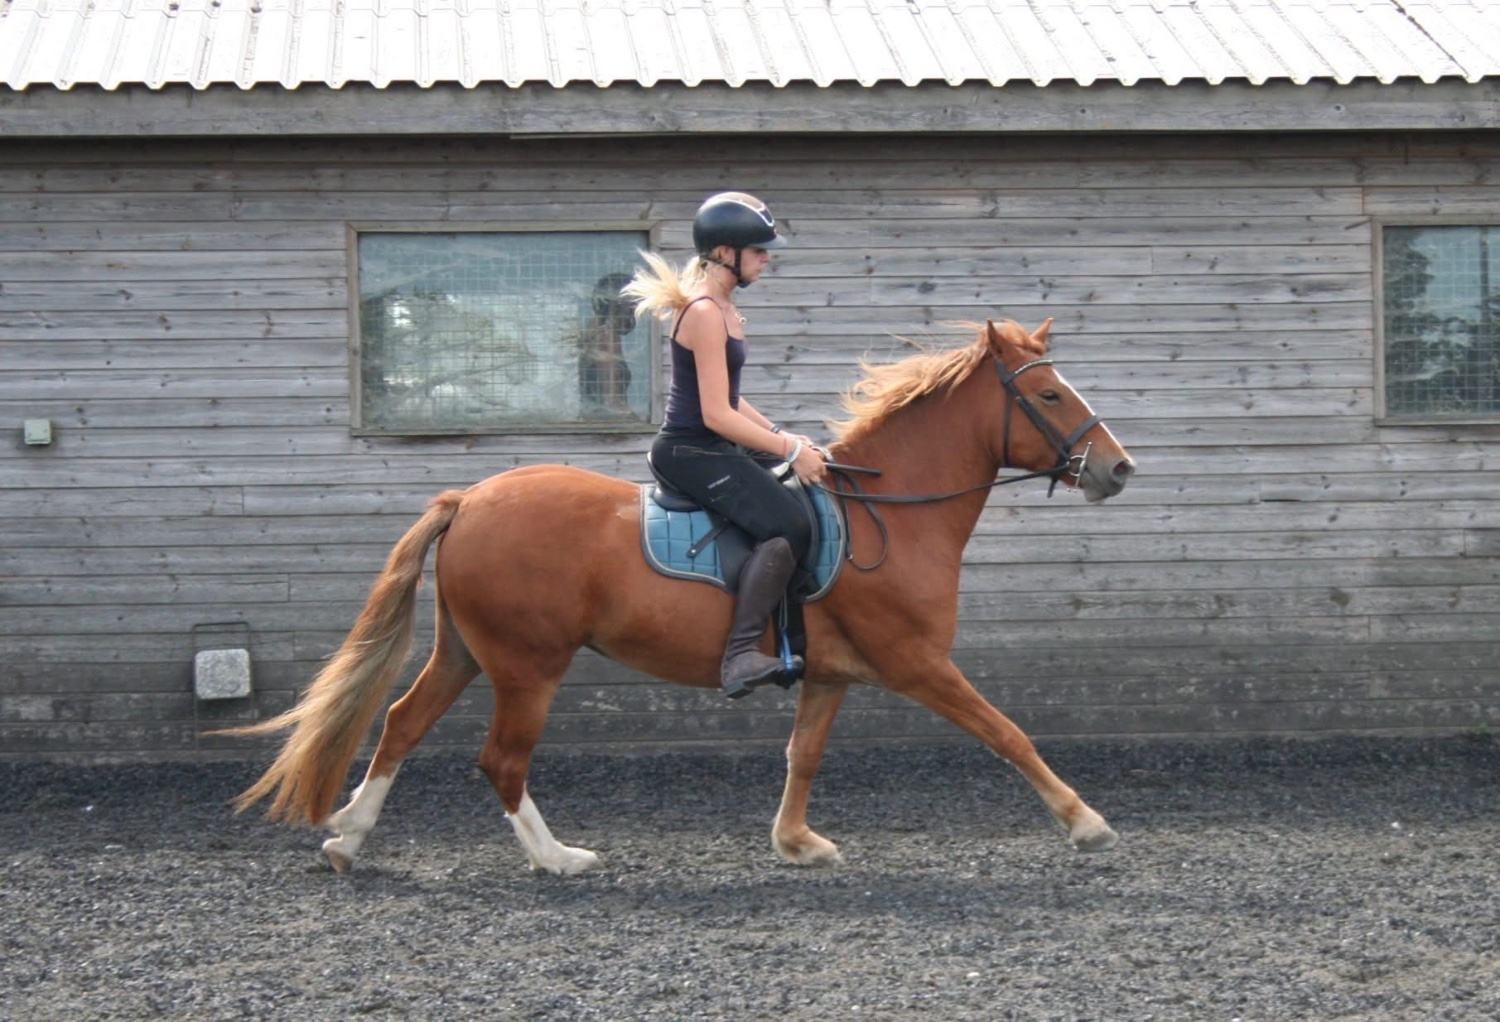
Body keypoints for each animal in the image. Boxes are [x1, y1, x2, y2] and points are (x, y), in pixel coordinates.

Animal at [225, 318, 1136, 874]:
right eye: (1049, 395)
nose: (1119, 469)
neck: (893, 514)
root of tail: (471, 498)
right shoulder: (917, 663)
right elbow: (1007, 732)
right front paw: (1086, 821)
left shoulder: (831, 675)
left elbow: (802, 756)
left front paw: (796, 843)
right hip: (528, 664)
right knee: (501, 759)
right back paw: (559, 858)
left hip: (467, 651)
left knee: (402, 722)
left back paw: (348, 839)